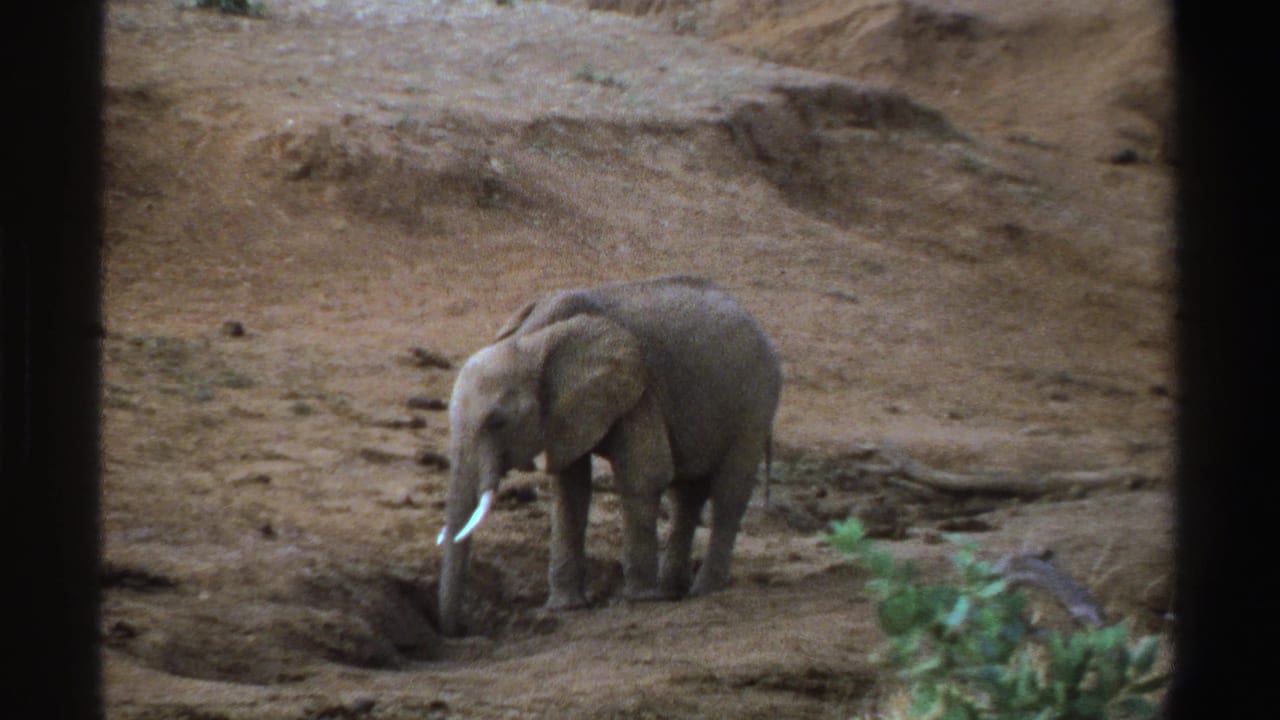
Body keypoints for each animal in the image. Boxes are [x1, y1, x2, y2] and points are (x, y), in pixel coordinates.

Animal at [435, 274, 782, 637]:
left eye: (498, 422)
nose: (457, 630)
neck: (532, 339)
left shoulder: (639, 389)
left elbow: (643, 475)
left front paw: (639, 600)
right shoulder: (566, 412)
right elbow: (570, 487)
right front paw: (566, 607)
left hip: (757, 401)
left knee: (729, 492)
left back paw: (704, 590)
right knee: (687, 494)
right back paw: (673, 590)